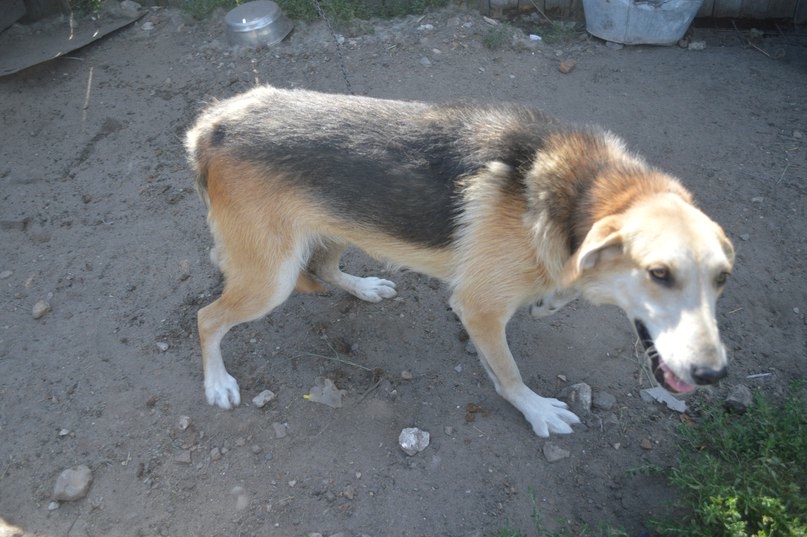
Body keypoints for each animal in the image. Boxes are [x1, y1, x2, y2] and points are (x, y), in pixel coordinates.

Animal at [186, 85, 736, 436]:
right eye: (659, 274)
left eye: (721, 279)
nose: (713, 375)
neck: (578, 195)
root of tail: (213, 124)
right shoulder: (481, 310)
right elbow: (510, 374)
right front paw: (536, 410)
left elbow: (553, 296)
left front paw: (551, 301)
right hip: (271, 278)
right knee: (208, 318)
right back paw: (216, 383)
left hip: (341, 224)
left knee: (322, 268)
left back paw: (364, 287)